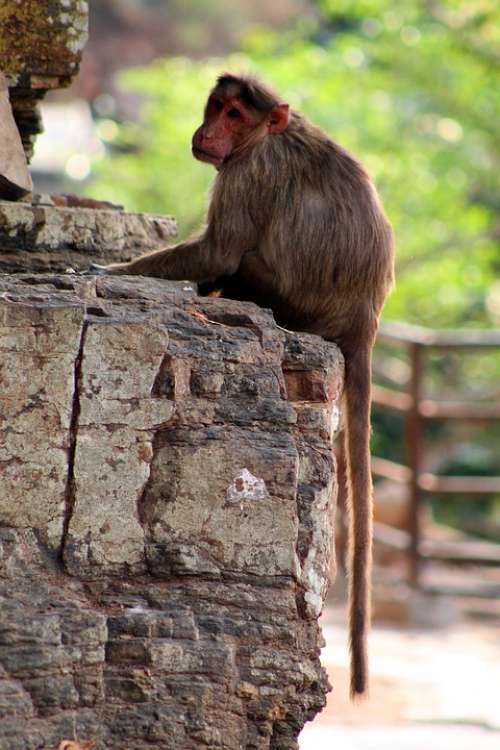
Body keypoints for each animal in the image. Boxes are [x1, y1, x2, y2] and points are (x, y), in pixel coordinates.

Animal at [91, 72, 394, 700]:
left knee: (240, 263)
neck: (266, 136)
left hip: (287, 297)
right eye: (217, 107)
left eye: (235, 114)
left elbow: (219, 250)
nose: (207, 131)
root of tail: (364, 321)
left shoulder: (248, 172)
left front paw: (107, 273)